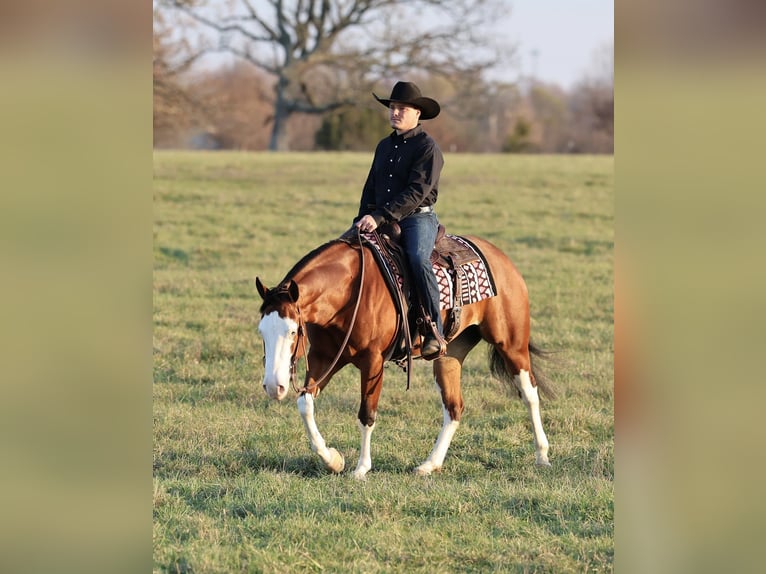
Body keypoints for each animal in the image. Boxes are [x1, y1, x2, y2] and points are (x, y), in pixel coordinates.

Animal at [255, 232, 555, 480]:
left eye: (293, 331)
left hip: (511, 344)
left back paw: (542, 455)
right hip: (449, 355)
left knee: (530, 394)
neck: (349, 291)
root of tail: (501, 258)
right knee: (454, 407)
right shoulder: (324, 357)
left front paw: (361, 468)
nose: (273, 386)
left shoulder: (373, 362)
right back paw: (430, 464)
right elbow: (305, 404)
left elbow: (367, 414)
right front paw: (333, 460)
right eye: (261, 331)